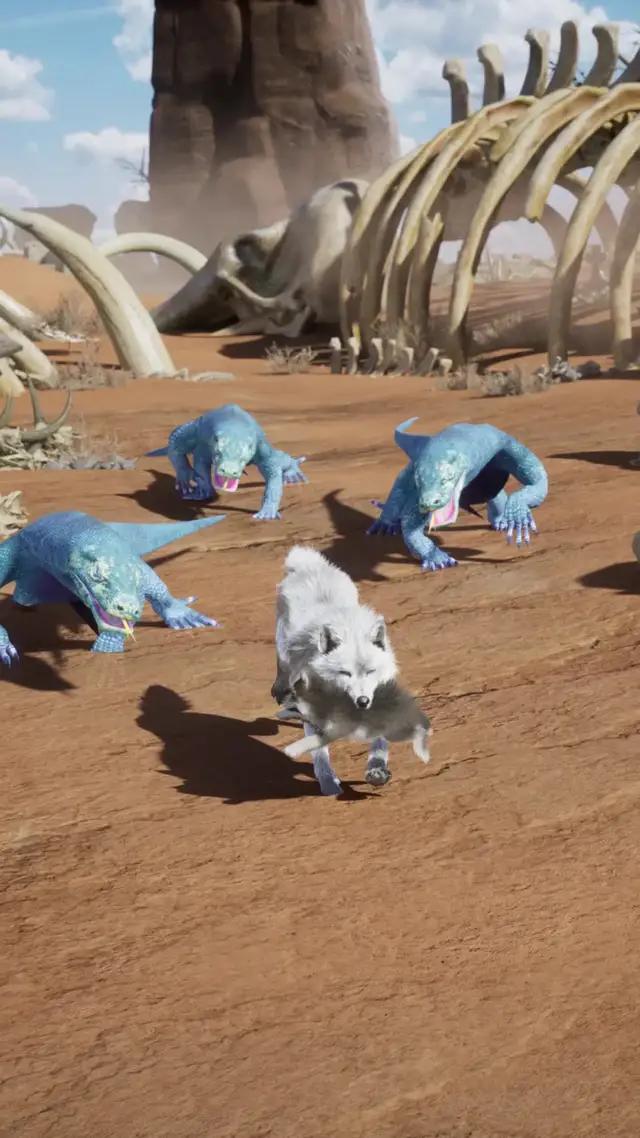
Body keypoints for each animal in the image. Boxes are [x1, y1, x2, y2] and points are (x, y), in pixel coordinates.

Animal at [272, 546, 430, 795]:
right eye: (344, 673)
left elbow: (379, 741)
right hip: (283, 645)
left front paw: (376, 770)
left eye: (371, 671)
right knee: (282, 666)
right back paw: (280, 690)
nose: (363, 701)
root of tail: (309, 565)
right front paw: (329, 784)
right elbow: (320, 752)